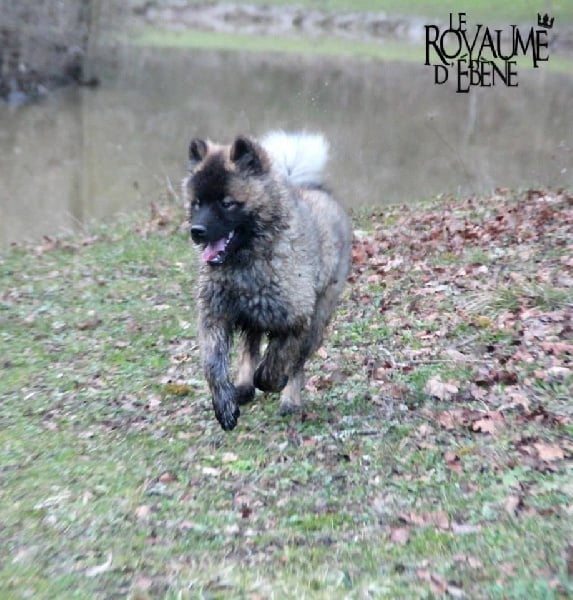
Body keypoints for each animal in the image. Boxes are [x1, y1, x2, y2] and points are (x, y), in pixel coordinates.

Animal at [183, 131, 352, 431]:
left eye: (227, 203)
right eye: (197, 203)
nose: (197, 231)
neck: (244, 265)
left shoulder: (296, 320)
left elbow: (277, 363)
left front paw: (273, 381)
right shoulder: (216, 316)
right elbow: (214, 366)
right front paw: (225, 405)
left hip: (316, 320)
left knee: (297, 363)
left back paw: (289, 400)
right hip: (254, 318)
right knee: (249, 347)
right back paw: (243, 386)